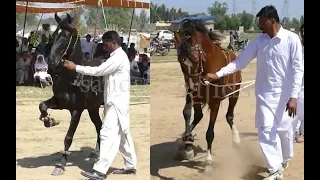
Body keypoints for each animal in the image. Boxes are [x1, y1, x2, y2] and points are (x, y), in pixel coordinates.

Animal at [38, 13, 104, 176]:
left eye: (68, 36)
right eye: (54, 34)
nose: (52, 61)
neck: (73, 76)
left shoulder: (77, 110)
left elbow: (68, 137)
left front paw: (60, 165)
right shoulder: (60, 102)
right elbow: (42, 105)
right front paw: (49, 120)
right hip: (93, 108)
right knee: (99, 127)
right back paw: (97, 153)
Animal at [175, 19, 242, 172]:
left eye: (195, 59)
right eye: (181, 61)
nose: (192, 87)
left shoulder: (215, 102)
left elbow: (210, 133)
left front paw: (208, 162)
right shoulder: (192, 97)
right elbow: (187, 113)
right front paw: (187, 143)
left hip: (235, 94)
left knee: (229, 116)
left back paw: (236, 138)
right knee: (198, 116)